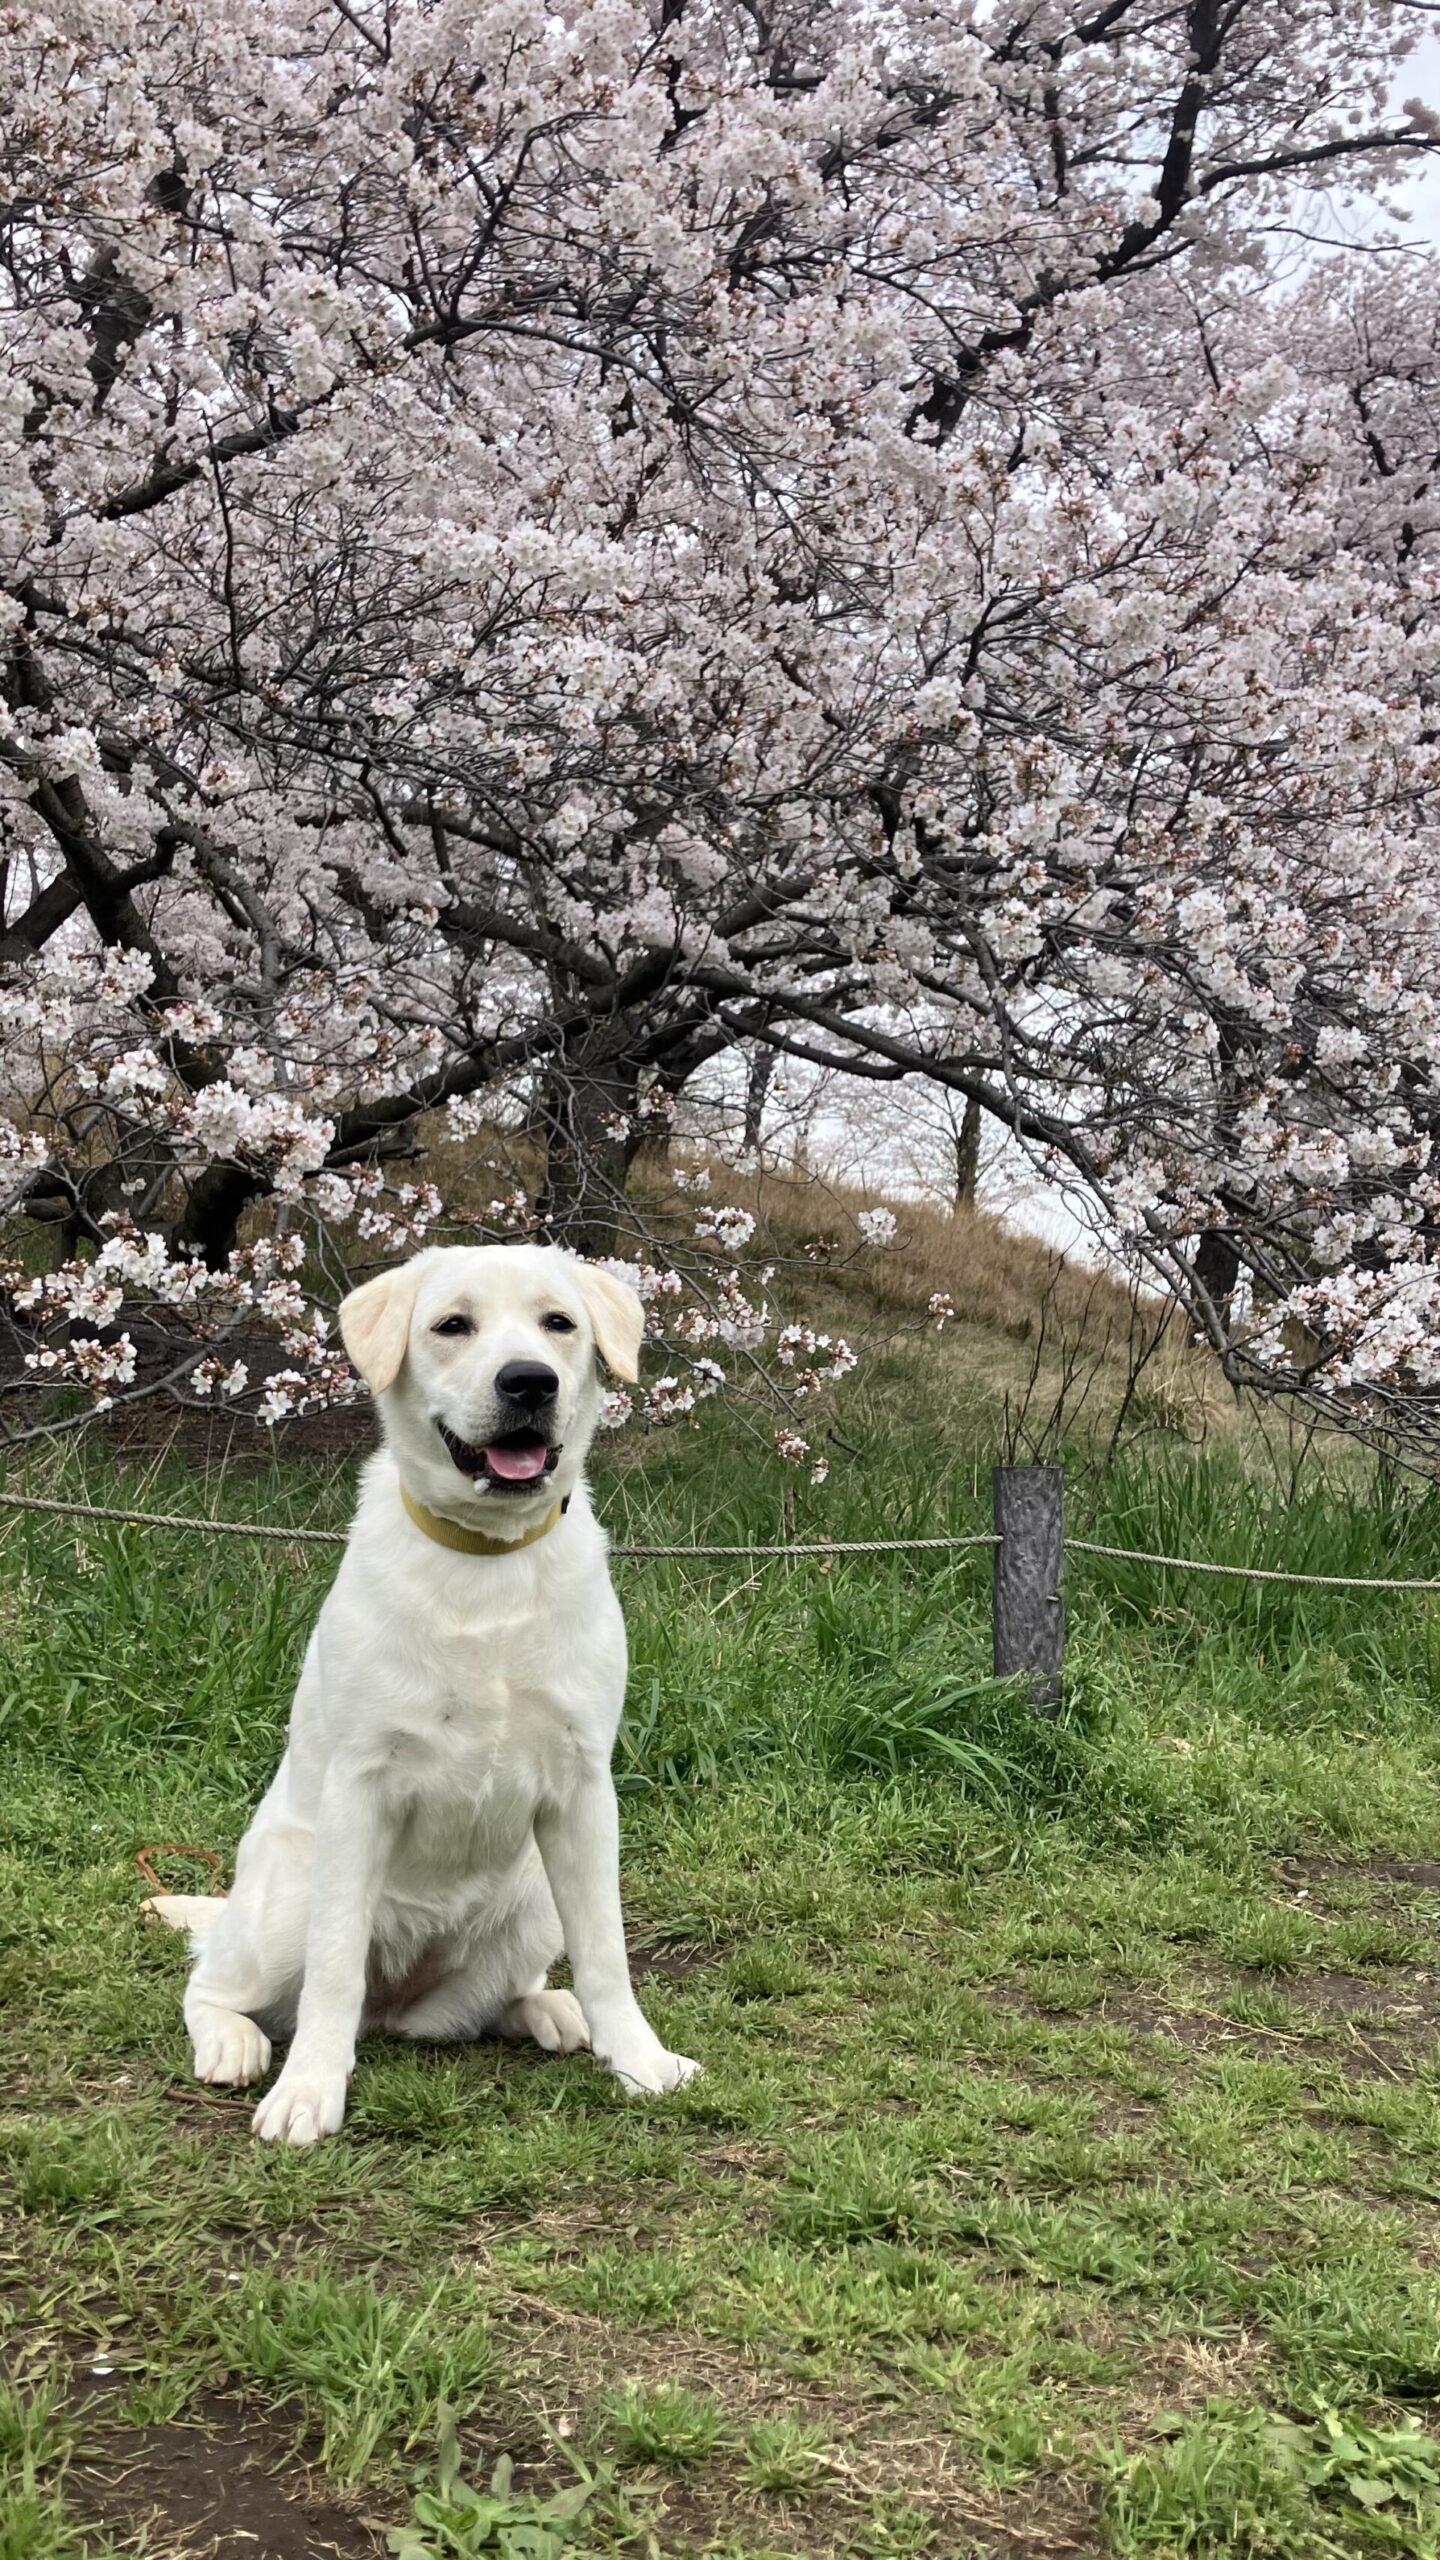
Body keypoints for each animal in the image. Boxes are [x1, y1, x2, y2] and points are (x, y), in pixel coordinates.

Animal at [148, 1239, 696, 2140]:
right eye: (451, 1325)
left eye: (559, 1323)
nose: (529, 1382)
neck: (489, 1559)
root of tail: (396, 1999)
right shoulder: (360, 1788)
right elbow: (335, 1971)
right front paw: (309, 2091)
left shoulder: (584, 1791)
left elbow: (607, 1954)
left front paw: (640, 2060)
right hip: (284, 1906)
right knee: (224, 1987)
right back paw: (235, 2044)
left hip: (532, 1902)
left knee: (478, 2008)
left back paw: (550, 2011)